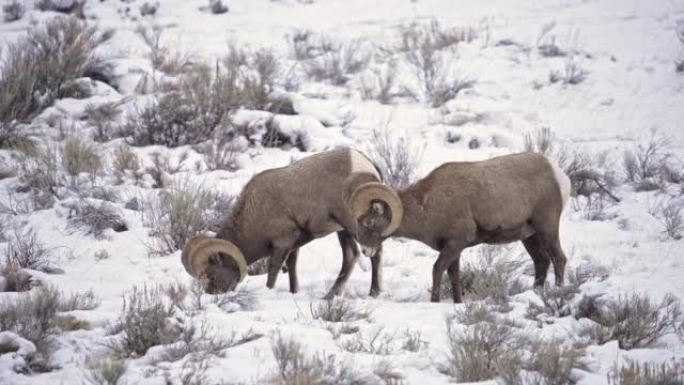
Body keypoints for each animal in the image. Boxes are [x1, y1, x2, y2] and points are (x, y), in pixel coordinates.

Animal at [180, 147, 400, 296]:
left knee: (368, 254)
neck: (254, 213)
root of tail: (367, 165)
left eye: (211, 275)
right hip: (343, 229)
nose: (211, 295)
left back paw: (364, 293)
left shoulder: (281, 243)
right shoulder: (294, 244)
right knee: (353, 255)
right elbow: (292, 266)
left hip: (352, 225)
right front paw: (294, 292)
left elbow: (274, 270)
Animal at [356, 152, 576, 302]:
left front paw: (435, 301)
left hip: (547, 229)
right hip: (529, 237)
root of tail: (559, 176)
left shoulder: (455, 243)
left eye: (369, 222)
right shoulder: (453, 248)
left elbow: (437, 270)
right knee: (541, 262)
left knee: (559, 259)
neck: (427, 204)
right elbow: (454, 276)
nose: (365, 251)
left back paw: (558, 291)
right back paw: (537, 292)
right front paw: (457, 302)